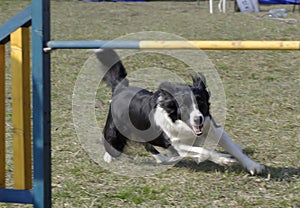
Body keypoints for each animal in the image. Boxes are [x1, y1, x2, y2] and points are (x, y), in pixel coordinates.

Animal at [96, 49, 264, 175]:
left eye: (201, 102)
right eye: (184, 106)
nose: (198, 119)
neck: (182, 124)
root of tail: (121, 87)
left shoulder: (212, 128)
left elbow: (233, 148)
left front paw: (253, 166)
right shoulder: (178, 144)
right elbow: (205, 151)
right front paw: (224, 159)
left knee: (149, 146)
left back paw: (165, 159)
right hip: (116, 130)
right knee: (113, 144)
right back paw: (109, 159)